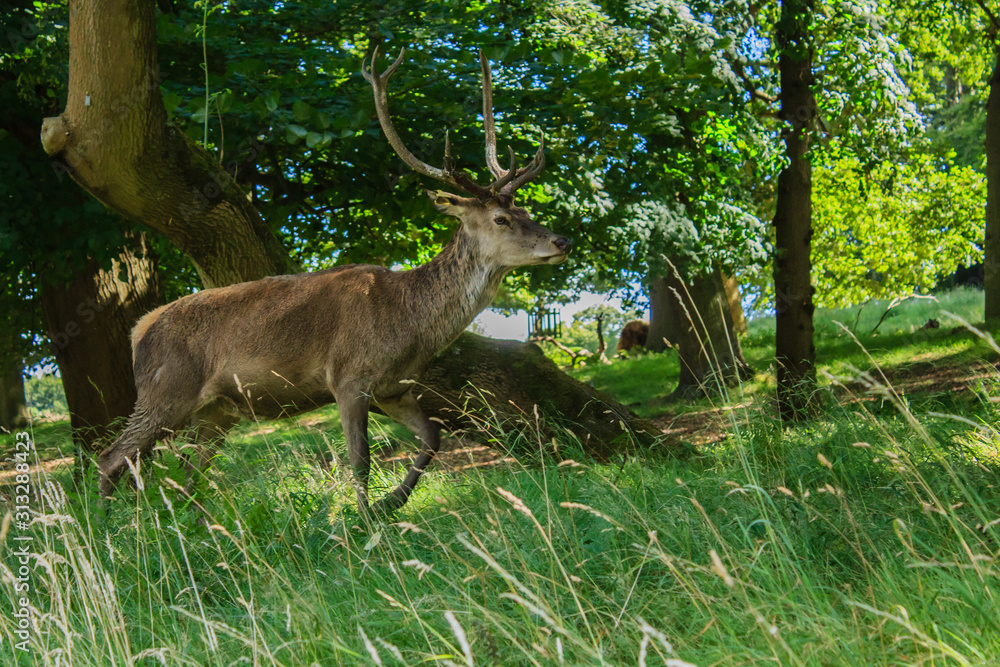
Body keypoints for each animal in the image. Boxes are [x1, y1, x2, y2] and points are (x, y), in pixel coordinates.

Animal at [97, 48, 571, 519]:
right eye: (502, 218)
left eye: (527, 210)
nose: (562, 240)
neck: (411, 326)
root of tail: (139, 328)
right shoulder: (348, 377)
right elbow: (359, 460)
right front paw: (363, 520)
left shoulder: (393, 388)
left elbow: (432, 439)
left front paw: (391, 503)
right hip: (165, 391)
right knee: (111, 458)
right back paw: (106, 526)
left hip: (216, 412)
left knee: (187, 474)